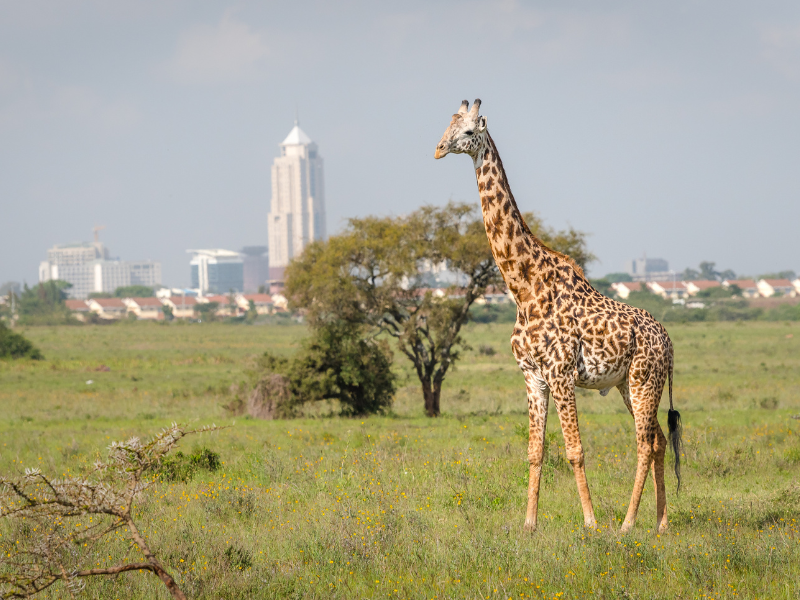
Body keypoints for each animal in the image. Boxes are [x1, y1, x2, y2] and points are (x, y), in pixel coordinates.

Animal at [435, 99, 683, 534]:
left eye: (468, 131)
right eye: (448, 125)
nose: (438, 149)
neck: (524, 287)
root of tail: (668, 342)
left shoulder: (561, 373)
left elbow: (574, 450)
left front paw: (590, 523)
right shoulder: (533, 376)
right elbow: (535, 451)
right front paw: (529, 524)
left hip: (644, 379)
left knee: (643, 443)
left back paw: (627, 524)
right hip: (627, 384)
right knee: (658, 441)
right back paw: (661, 523)